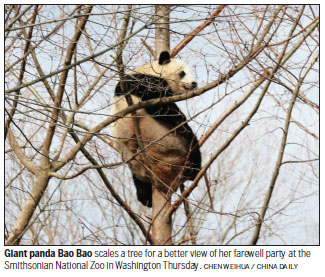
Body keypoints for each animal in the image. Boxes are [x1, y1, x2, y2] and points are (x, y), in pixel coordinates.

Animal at [110, 51, 200, 207]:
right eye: (182, 73)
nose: (194, 83)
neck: (151, 70)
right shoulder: (144, 82)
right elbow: (162, 107)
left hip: (135, 164)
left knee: (140, 183)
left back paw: (146, 199)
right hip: (172, 142)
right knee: (192, 145)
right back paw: (195, 168)